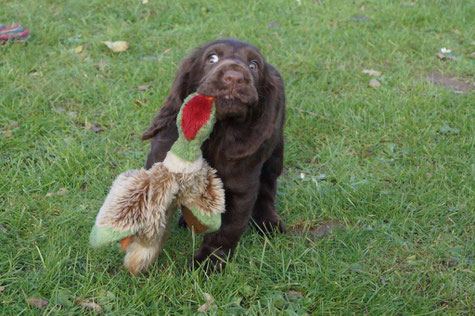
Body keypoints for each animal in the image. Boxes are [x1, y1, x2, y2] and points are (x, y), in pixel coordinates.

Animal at [141, 37, 284, 270]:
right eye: (212, 58)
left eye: (254, 65)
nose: (234, 77)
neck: (217, 133)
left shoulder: (240, 190)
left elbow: (226, 231)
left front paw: (208, 263)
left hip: (275, 154)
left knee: (267, 188)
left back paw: (268, 221)